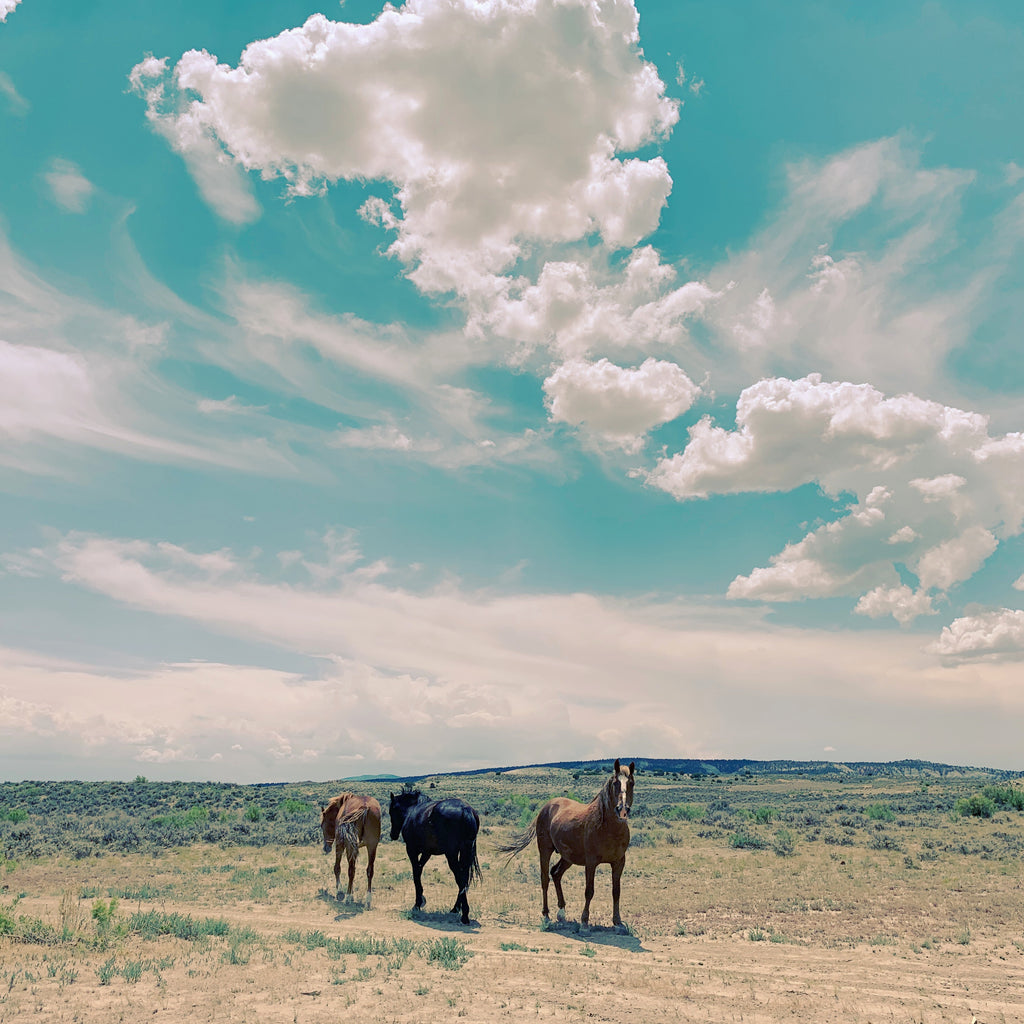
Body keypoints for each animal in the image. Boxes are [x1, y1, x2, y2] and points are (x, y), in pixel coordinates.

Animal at [388, 791, 482, 925]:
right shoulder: (427, 852)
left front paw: (417, 903)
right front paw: (421, 899)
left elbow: (416, 874)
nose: (392, 835)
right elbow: (419, 870)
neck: (412, 810)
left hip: (451, 854)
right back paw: (456, 908)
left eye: (391, 811)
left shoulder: (411, 850)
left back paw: (464, 915)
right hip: (465, 852)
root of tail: (465, 809)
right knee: (464, 878)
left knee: (460, 878)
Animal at [497, 759, 635, 933]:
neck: (607, 827)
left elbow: (616, 892)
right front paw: (584, 923)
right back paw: (546, 915)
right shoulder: (591, 863)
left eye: (631, 783)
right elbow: (589, 891)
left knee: (556, 873)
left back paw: (561, 912)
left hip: (567, 857)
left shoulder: (618, 862)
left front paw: (618, 922)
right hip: (545, 850)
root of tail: (545, 807)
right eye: (616, 782)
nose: (622, 810)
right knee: (545, 879)